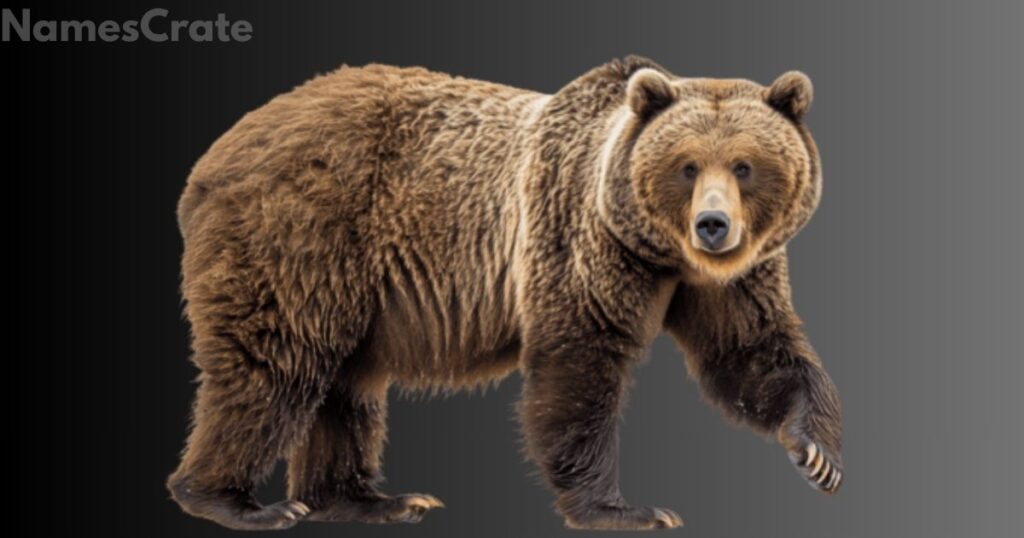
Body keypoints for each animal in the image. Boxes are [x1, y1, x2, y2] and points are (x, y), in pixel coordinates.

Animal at [167, 55, 842, 531]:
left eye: (746, 166)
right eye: (687, 165)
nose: (713, 224)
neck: (659, 251)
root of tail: (213, 158)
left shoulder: (728, 278)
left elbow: (750, 349)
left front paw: (818, 454)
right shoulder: (577, 235)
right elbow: (580, 360)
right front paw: (625, 509)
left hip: (349, 284)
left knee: (345, 384)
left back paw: (372, 499)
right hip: (305, 230)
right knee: (273, 364)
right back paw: (237, 501)